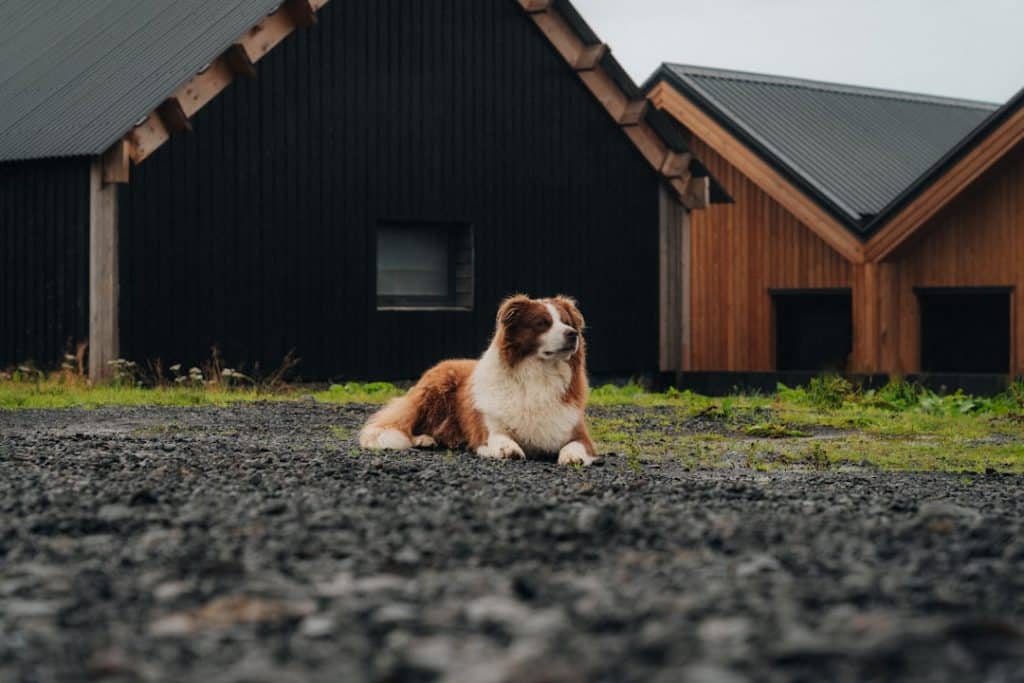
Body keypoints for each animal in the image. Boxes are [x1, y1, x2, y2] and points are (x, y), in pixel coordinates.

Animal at [360, 296, 598, 466]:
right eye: (542, 323)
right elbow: (499, 437)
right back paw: (423, 439)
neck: (538, 375)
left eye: (567, 322)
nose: (573, 334)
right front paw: (508, 448)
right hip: (435, 388)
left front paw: (572, 456)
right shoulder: (487, 428)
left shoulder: (580, 434)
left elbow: (575, 445)